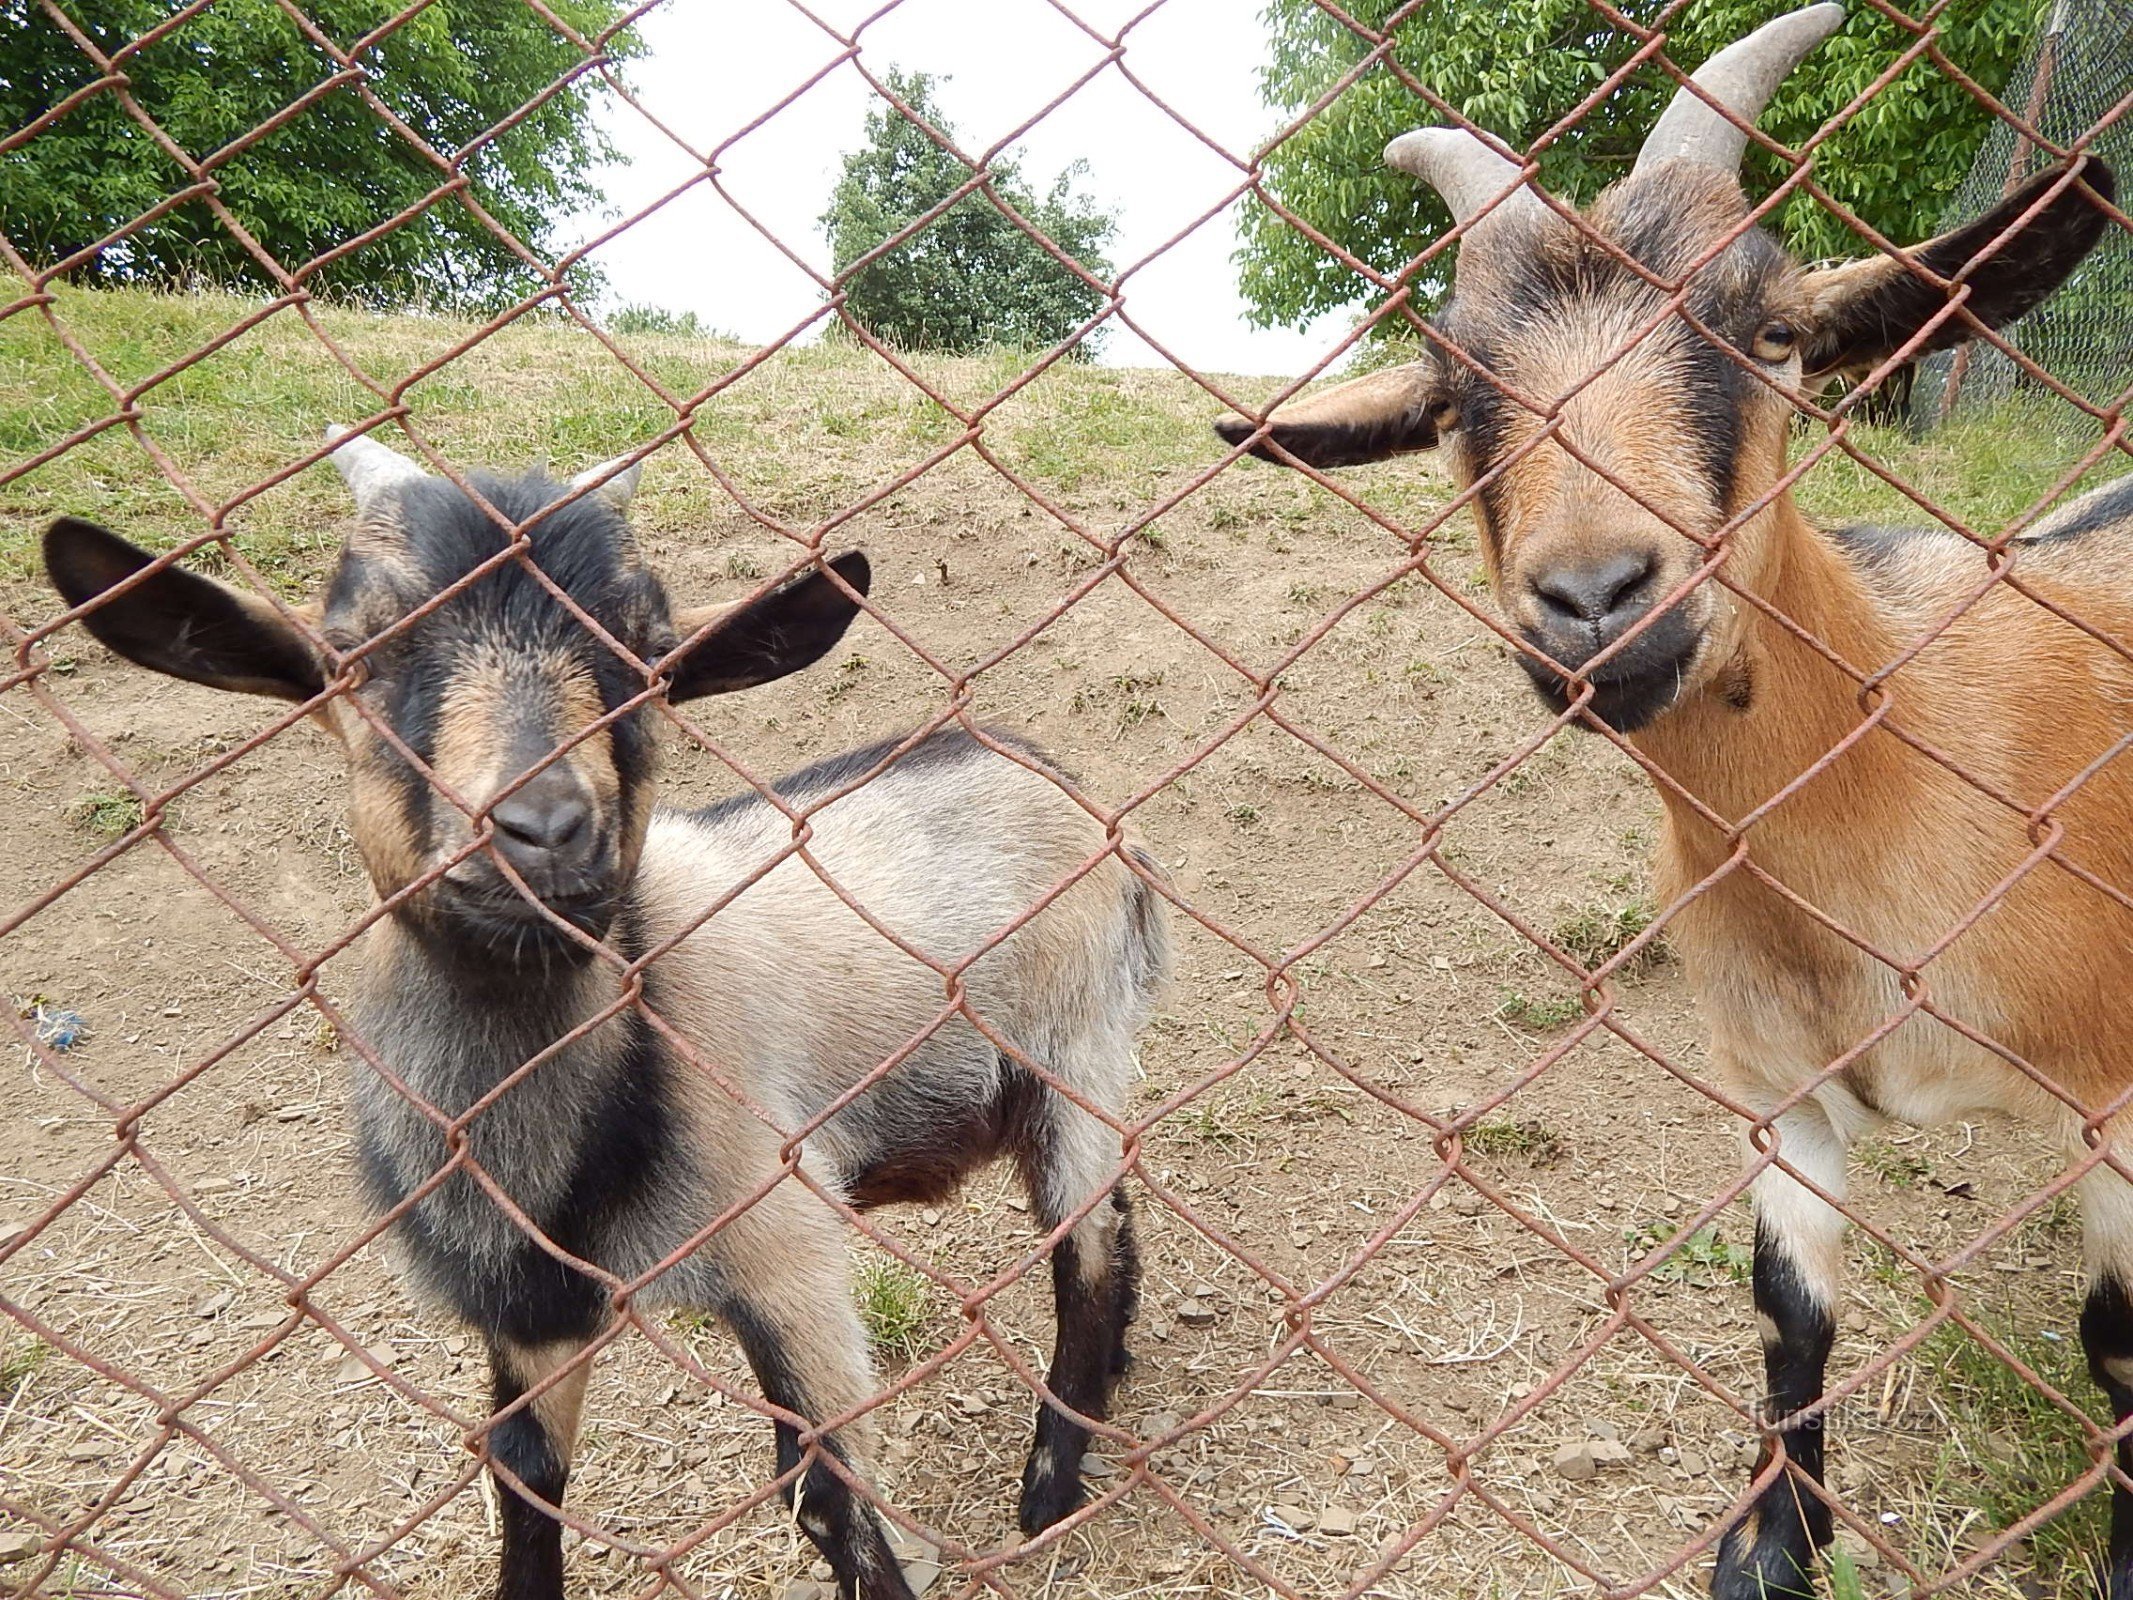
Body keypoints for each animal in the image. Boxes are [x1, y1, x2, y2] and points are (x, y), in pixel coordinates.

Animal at [37, 435, 1168, 1600]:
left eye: (650, 654)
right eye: (355, 651)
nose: (544, 827)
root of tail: (1069, 786)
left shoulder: (784, 1246)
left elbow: (827, 1496)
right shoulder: (530, 1308)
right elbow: (521, 1468)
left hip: (1074, 1047)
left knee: (1087, 1251)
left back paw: (1052, 1479)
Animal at [1220, 6, 2133, 1595]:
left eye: (1771, 334)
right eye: (1455, 404)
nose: (1595, 597)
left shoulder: (2123, 1104)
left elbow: (2117, 1346)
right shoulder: (1777, 1090)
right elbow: (1791, 1316)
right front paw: (1769, 1548)